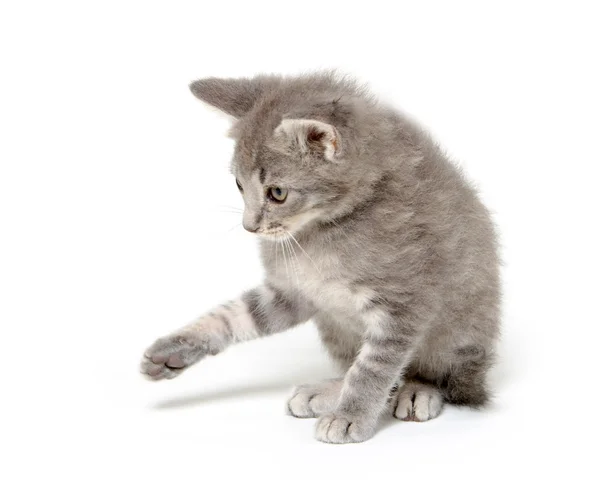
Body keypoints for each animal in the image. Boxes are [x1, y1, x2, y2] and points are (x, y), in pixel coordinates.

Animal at [141, 71, 502, 444]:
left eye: (277, 193)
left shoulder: (404, 303)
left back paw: (418, 391)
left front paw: (349, 416)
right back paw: (328, 390)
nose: (249, 226)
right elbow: (233, 316)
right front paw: (177, 347)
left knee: (432, 376)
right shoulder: (294, 291)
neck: (318, 234)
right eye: (240, 185)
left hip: (456, 338)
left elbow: (372, 368)